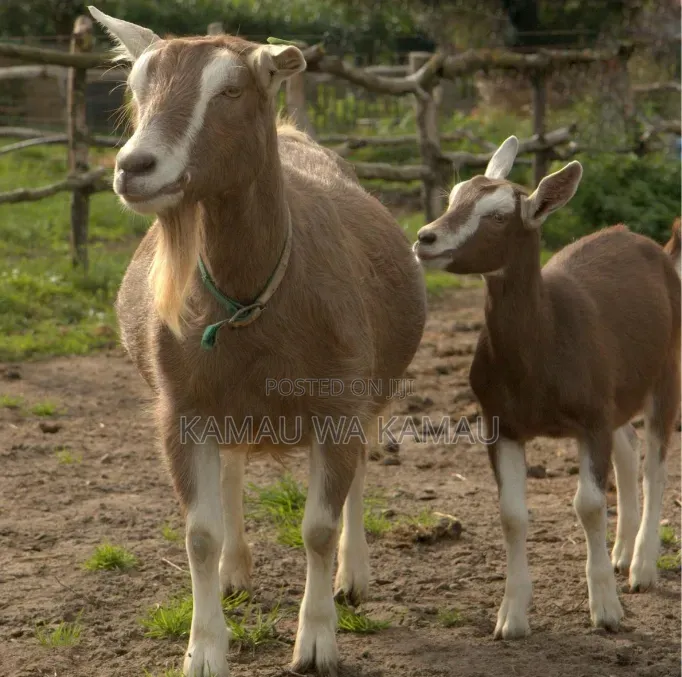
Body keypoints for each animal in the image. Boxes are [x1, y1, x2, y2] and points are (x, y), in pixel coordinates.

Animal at [88, 7, 426, 676]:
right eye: (137, 87)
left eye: (230, 90)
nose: (134, 167)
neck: (254, 298)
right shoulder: (182, 409)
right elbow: (199, 533)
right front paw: (203, 650)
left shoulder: (337, 402)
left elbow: (319, 527)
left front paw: (316, 643)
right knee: (234, 468)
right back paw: (235, 572)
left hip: (371, 389)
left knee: (359, 474)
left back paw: (353, 577)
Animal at [413, 136, 680, 639]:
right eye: (454, 198)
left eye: (499, 216)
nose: (425, 238)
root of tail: (654, 246)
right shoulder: (500, 423)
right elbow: (511, 514)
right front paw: (511, 618)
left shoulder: (590, 420)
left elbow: (589, 505)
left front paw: (606, 611)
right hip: (616, 390)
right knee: (628, 445)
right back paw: (620, 553)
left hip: (666, 371)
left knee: (655, 463)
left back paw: (641, 567)